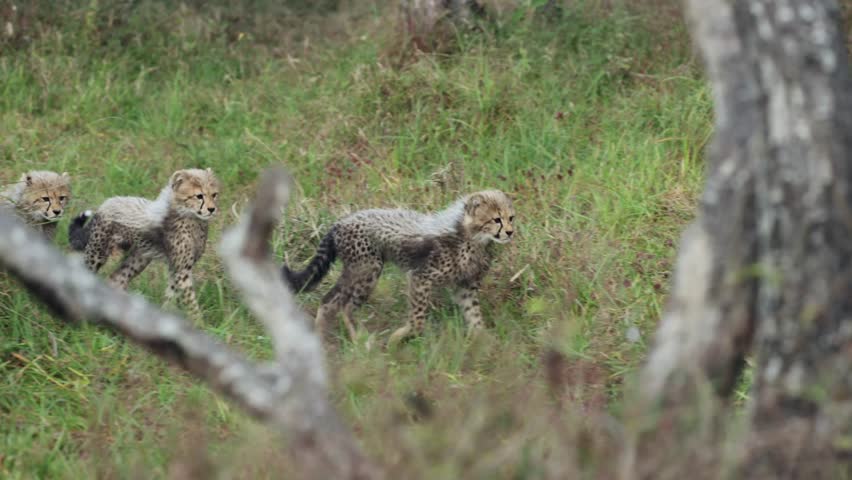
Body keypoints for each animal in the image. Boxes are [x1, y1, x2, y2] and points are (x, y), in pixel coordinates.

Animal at [68, 168, 220, 319]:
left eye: (214, 195)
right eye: (199, 196)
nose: (212, 209)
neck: (192, 218)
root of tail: (106, 204)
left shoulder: (175, 268)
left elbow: (171, 294)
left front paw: (166, 314)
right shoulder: (182, 270)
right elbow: (190, 300)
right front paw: (198, 321)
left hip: (138, 259)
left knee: (116, 279)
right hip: (97, 254)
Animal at [281, 189, 515, 345]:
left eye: (511, 218)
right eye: (496, 219)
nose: (510, 232)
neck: (473, 238)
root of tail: (341, 222)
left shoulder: (465, 287)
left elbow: (474, 315)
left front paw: (484, 341)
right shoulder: (421, 278)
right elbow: (418, 317)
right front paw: (400, 336)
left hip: (357, 270)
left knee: (329, 300)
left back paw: (320, 339)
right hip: (368, 269)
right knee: (345, 306)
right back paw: (359, 341)